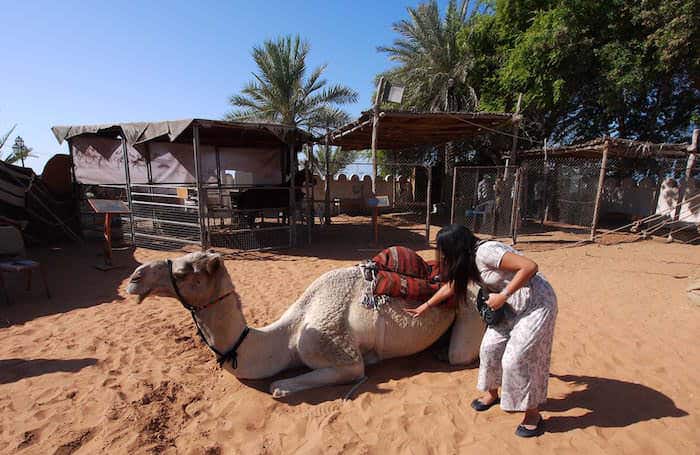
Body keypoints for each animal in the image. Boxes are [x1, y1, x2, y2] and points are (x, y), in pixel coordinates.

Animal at [126, 251, 484, 398]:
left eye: (185, 272)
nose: (134, 278)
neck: (287, 335)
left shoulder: (334, 351)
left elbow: (279, 386)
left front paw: (282, 386)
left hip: (470, 308)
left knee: (462, 354)